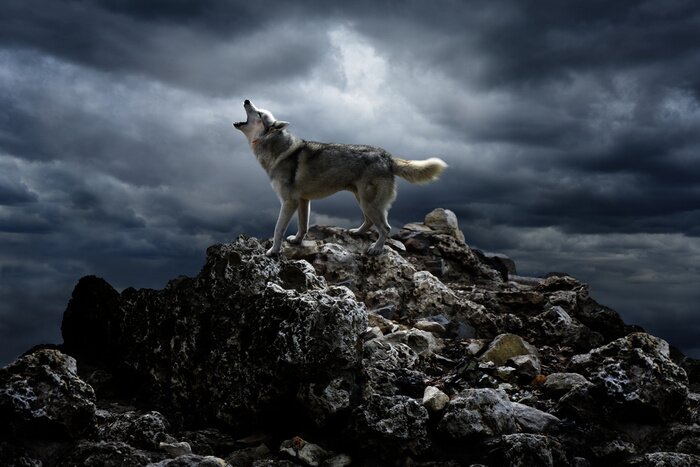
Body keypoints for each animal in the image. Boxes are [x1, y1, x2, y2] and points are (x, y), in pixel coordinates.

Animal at [233, 99, 447, 256]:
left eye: (259, 113)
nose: (246, 100)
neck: (276, 149)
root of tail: (388, 156)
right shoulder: (303, 201)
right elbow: (303, 226)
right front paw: (297, 241)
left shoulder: (289, 202)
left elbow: (278, 229)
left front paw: (273, 251)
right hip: (362, 200)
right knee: (370, 222)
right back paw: (356, 232)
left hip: (369, 202)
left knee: (385, 228)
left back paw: (376, 249)